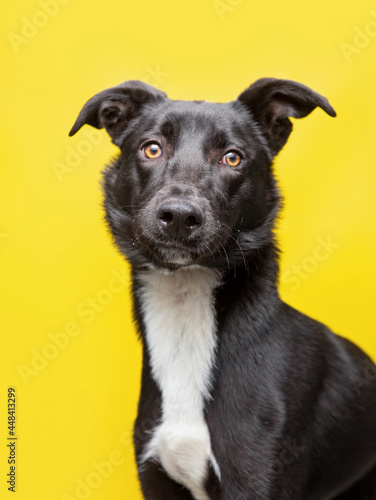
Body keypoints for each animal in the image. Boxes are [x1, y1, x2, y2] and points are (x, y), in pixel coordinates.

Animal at [70, 79, 376, 500]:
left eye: (232, 158)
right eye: (152, 148)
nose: (179, 216)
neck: (186, 318)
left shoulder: (256, 478)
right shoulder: (156, 478)